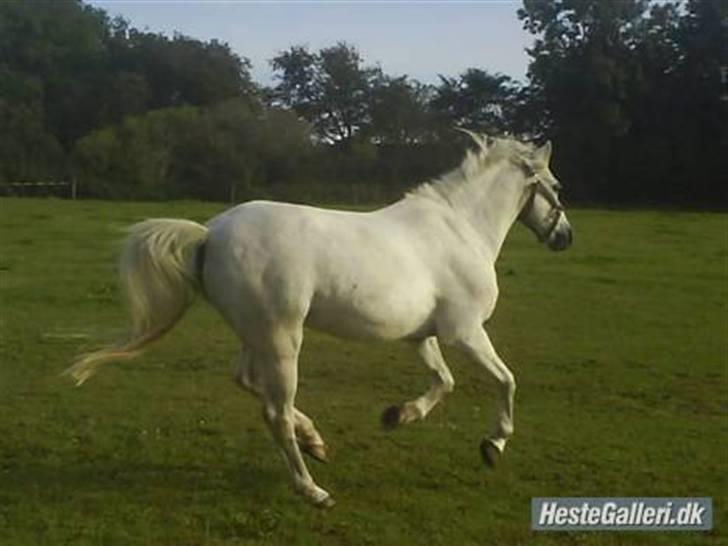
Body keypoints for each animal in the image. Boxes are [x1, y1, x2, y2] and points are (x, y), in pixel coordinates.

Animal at [65, 131, 573, 508]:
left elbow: (443, 382)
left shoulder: (421, 336)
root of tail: (210, 233)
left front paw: (398, 415)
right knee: (275, 410)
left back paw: (316, 442)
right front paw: (493, 446)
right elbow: (506, 380)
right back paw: (313, 489)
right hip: (283, 336)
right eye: (557, 187)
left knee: (249, 382)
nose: (565, 237)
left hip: (257, 334)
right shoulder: (465, 332)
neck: (460, 230)